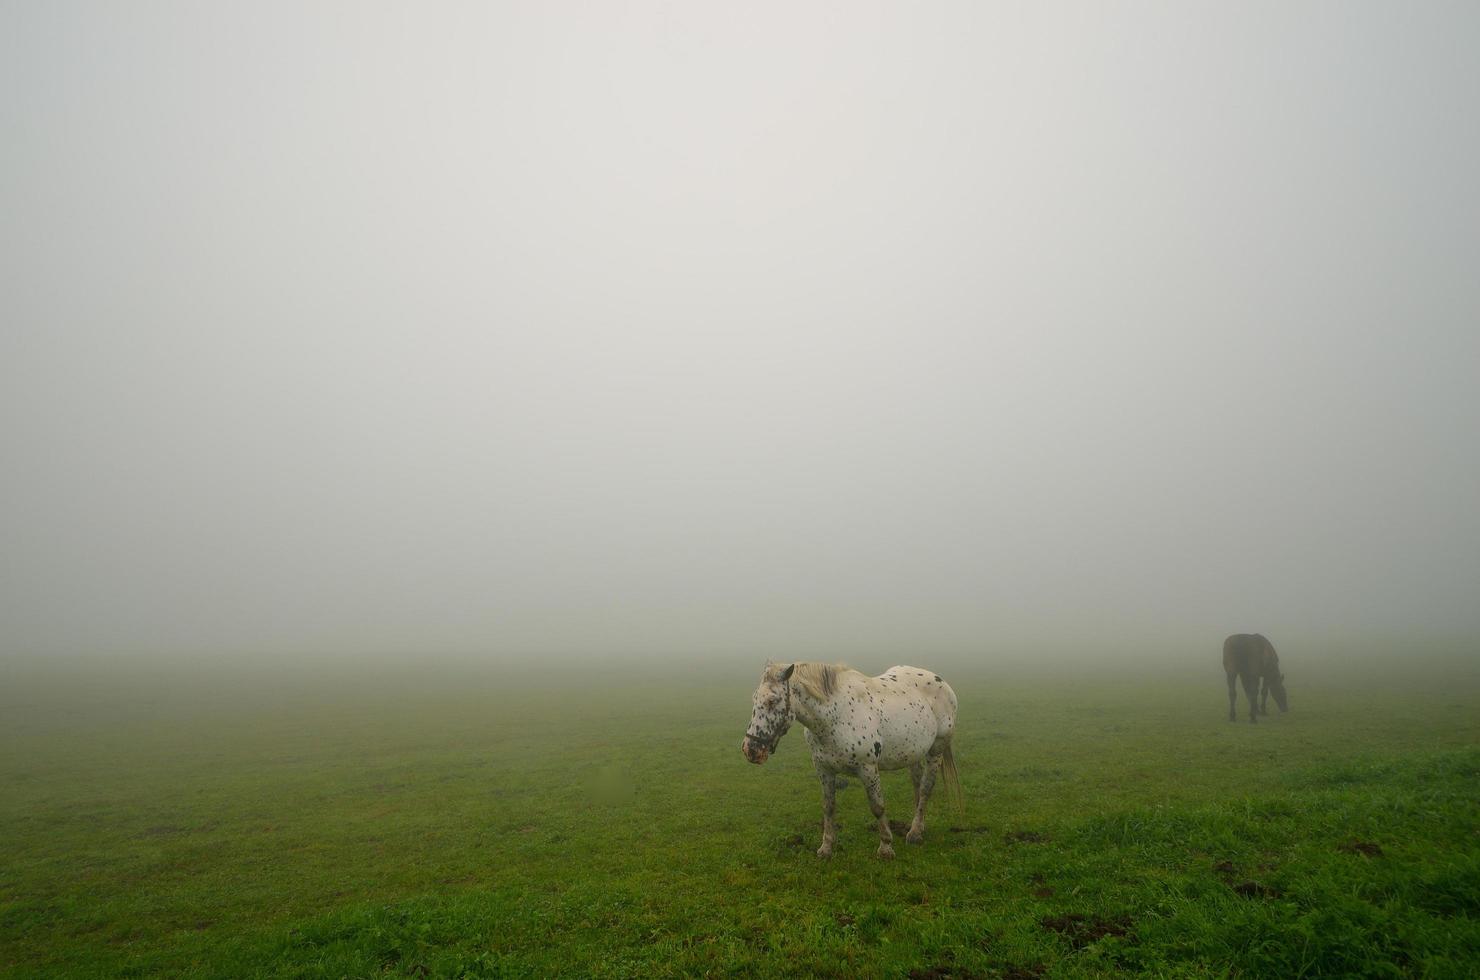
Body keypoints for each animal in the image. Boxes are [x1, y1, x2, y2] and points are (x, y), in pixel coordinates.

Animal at [737, 663, 959, 864]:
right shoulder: (824, 769)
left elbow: (877, 807)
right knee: (917, 785)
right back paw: (917, 826)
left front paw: (886, 847)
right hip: (913, 753)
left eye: (773, 701)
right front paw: (826, 847)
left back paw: (915, 833)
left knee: (926, 788)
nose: (751, 750)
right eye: (755, 699)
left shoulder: (868, 769)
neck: (835, 717)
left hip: (936, 750)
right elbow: (828, 806)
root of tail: (942, 683)